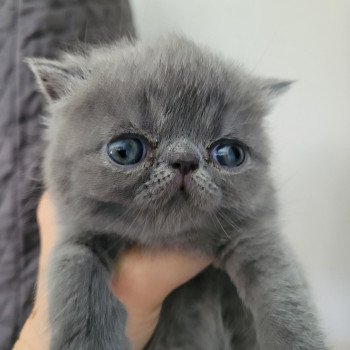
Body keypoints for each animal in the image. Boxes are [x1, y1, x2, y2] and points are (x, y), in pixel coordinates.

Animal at [27, 36, 328, 350]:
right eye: (124, 150)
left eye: (229, 154)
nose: (184, 159)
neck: (171, 242)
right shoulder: (78, 238)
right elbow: (77, 287)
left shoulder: (255, 237)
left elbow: (285, 300)